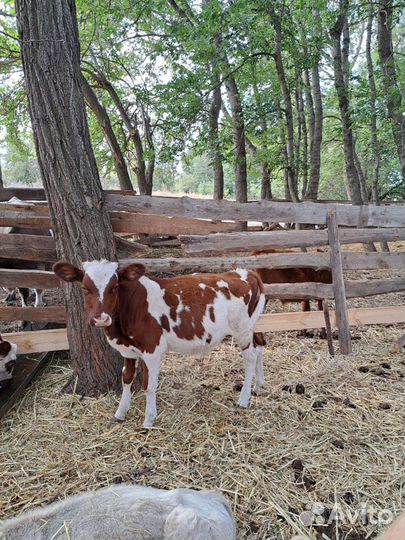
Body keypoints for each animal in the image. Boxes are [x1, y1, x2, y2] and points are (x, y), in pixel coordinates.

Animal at [52, 262, 266, 426]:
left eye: (114, 287)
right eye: (84, 288)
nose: (100, 318)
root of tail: (245, 272)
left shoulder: (152, 349)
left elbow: (149, 384)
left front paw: (148, 420)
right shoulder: (128, 351)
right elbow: (126, 379)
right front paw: (120, 413)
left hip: (241, 329)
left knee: (249, 357)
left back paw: (244, 398)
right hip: (252, 326)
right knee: (259, 346)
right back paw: (258, 386)